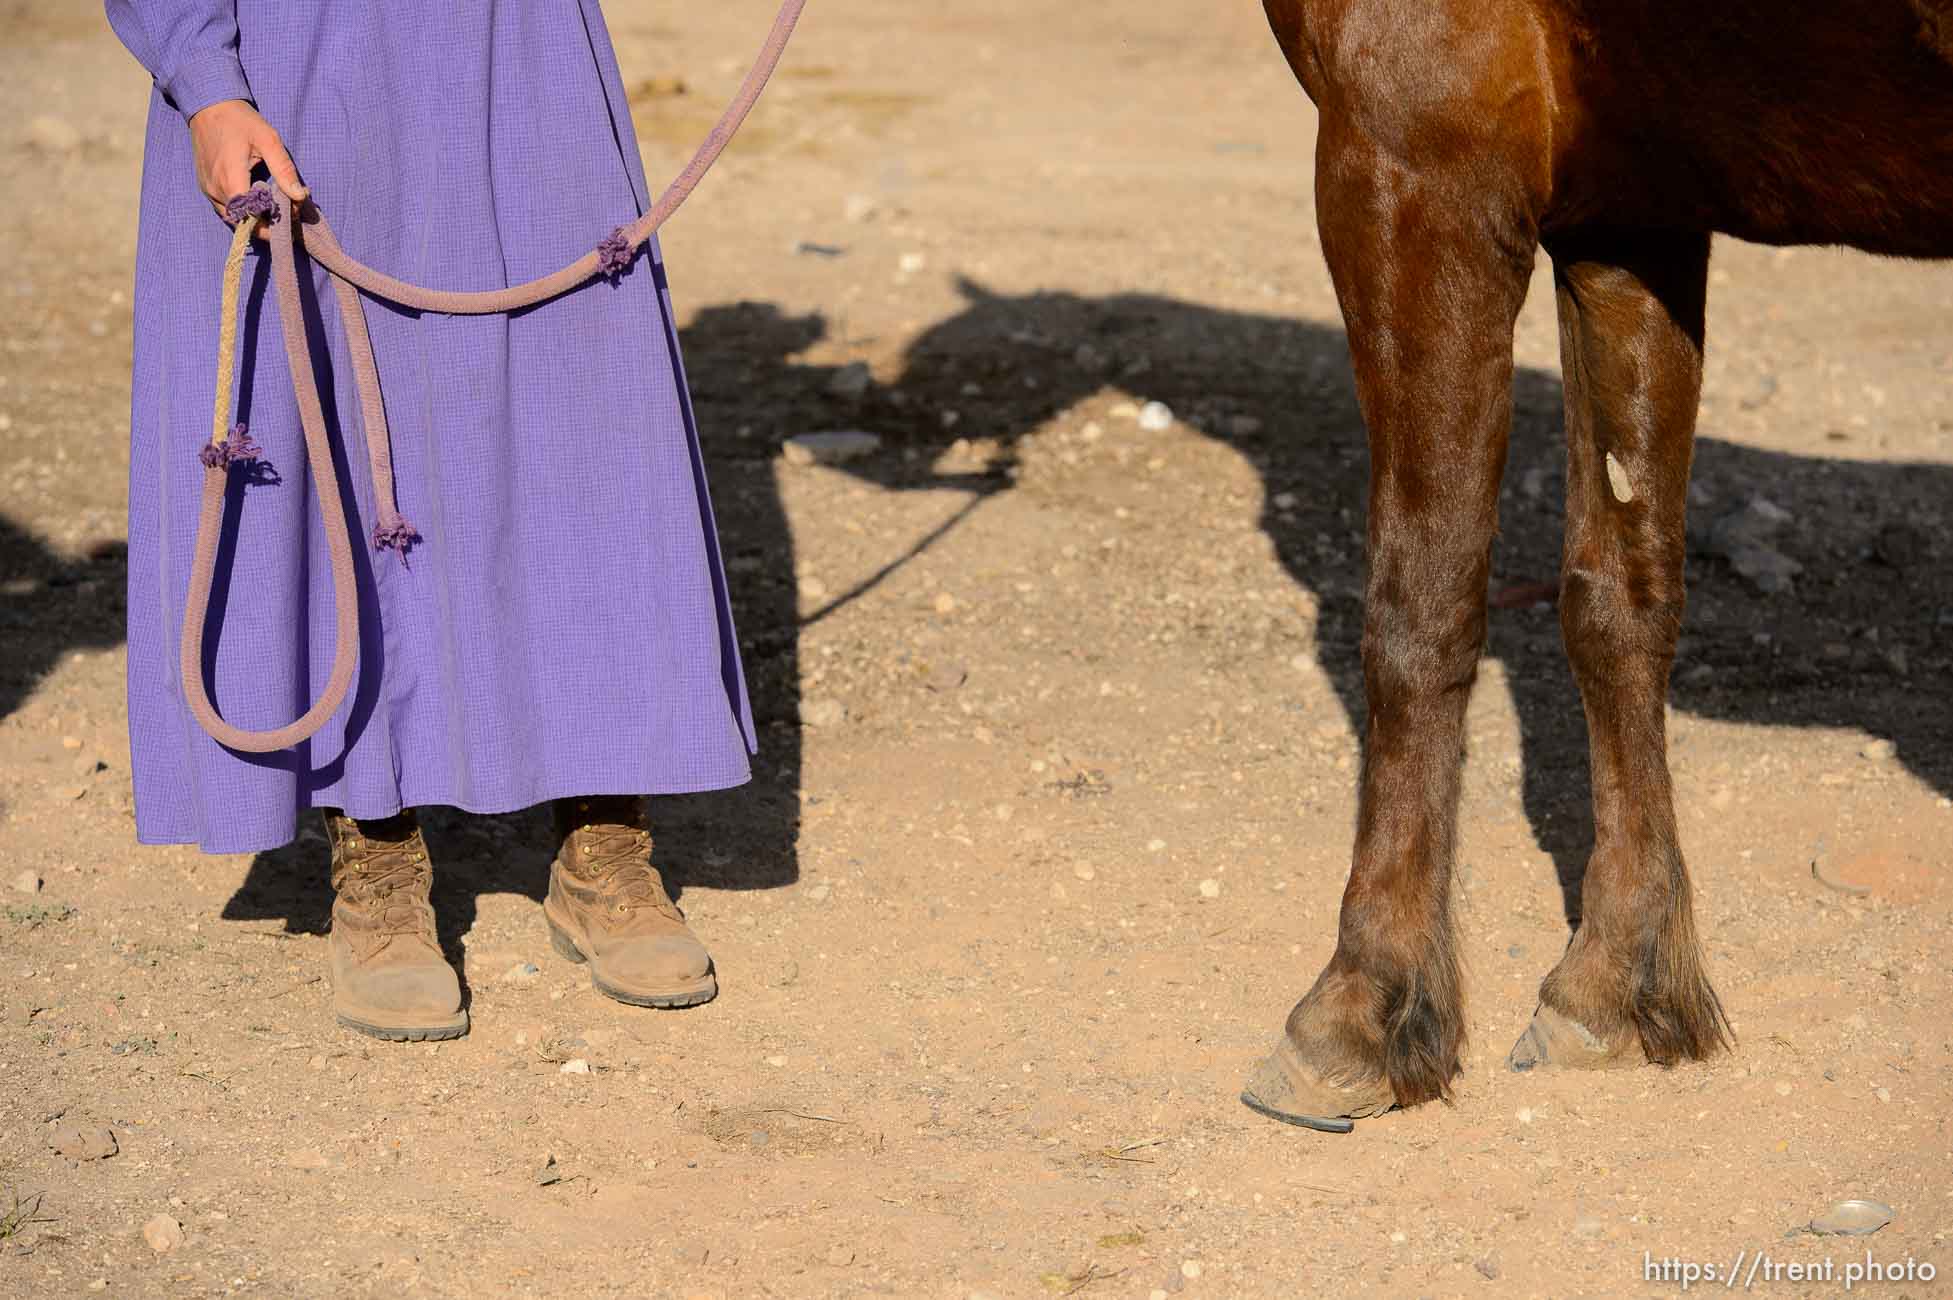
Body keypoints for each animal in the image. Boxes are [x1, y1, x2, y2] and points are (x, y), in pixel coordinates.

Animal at [1242, 0, 1953, 1124]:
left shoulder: (1411, 164)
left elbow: (1420, 608)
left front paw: (1361, 1004)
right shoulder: (1631, 215)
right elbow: (1616, 597)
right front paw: (1615, 984)